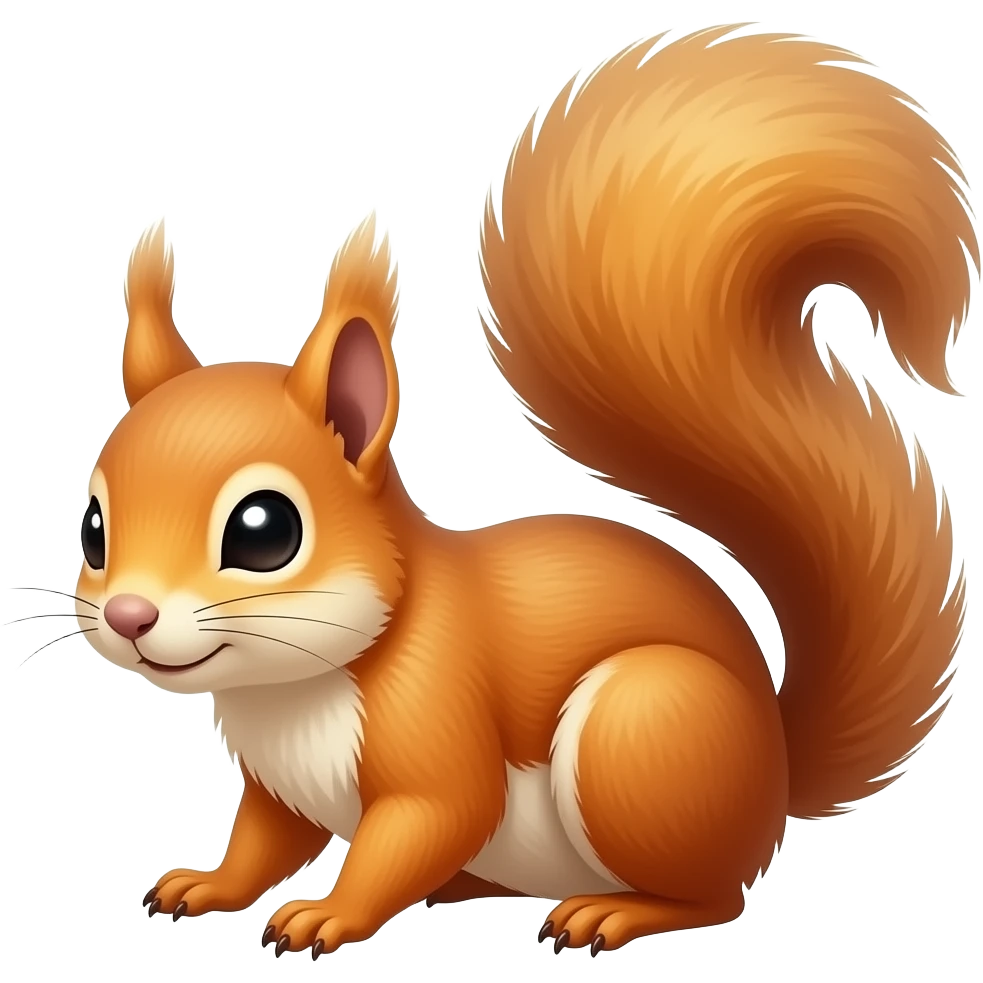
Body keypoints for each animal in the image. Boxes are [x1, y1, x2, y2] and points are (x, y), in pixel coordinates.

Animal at [79, 23, 973, 958]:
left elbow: (427, 820)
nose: (129, 615)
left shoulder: (439, 725)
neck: (289, 689)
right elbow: (263, 840)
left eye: (264, 530)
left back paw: (613, 911)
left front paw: (329, 912)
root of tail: (776, 766)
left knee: (717, 893)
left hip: (643, 732)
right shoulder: (277, 787)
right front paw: (207, 883)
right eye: (93, 528)